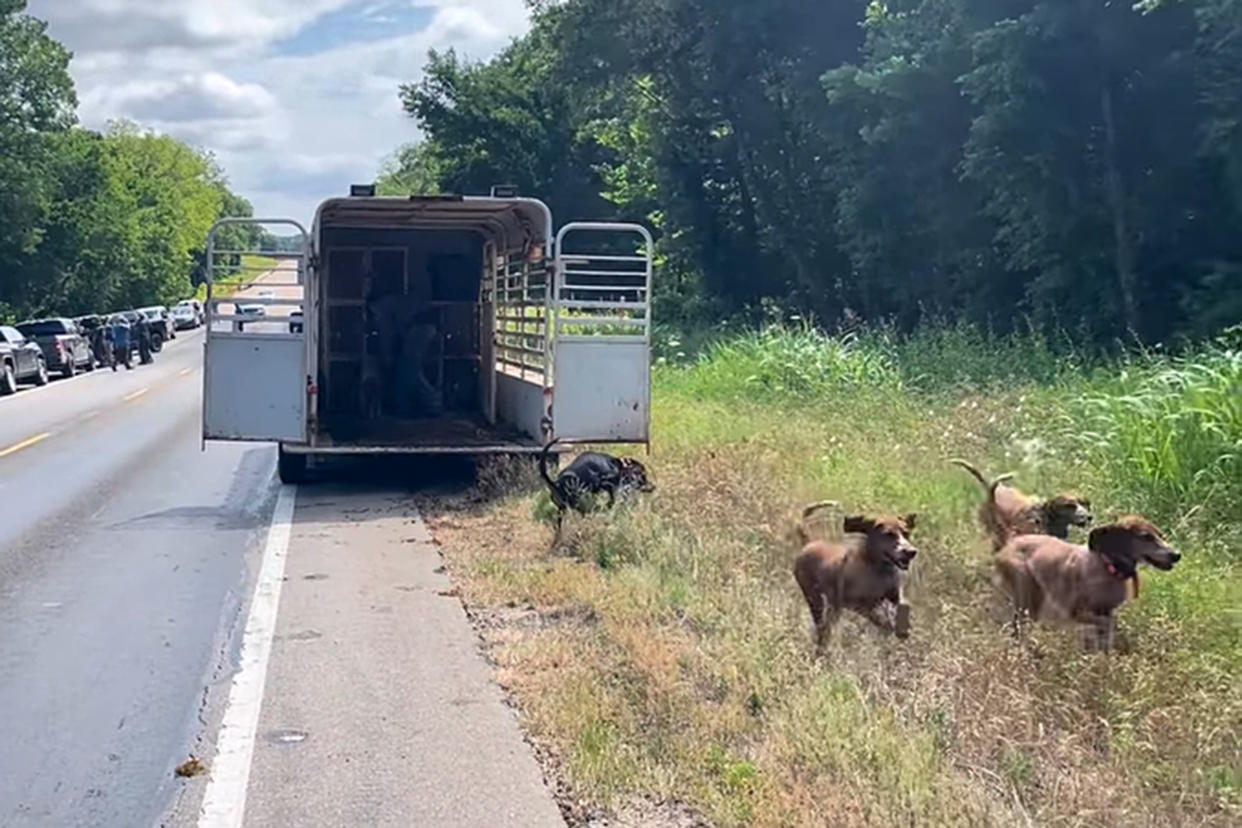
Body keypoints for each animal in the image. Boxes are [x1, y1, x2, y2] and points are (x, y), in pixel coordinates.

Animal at [789, 508, 919, 650]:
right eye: (888, 534)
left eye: (906, 533)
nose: (911, 552)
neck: (879, 571)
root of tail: (809, 543)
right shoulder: (861, 604)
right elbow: (881, 619)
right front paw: (890, 628)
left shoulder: (895, 594)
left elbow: (903, 606)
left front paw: (903, 628)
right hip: (815, 599)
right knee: (821, 627)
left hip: (832, 607)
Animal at [988, 513, 1182, 650]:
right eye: (1146, 536)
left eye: (1160, 535)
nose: (1176, 555)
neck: (1108, 566)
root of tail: (1009, 543)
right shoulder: (1075, 612)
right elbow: (1108, 624)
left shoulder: (1106, 610)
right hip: (1028, 598)